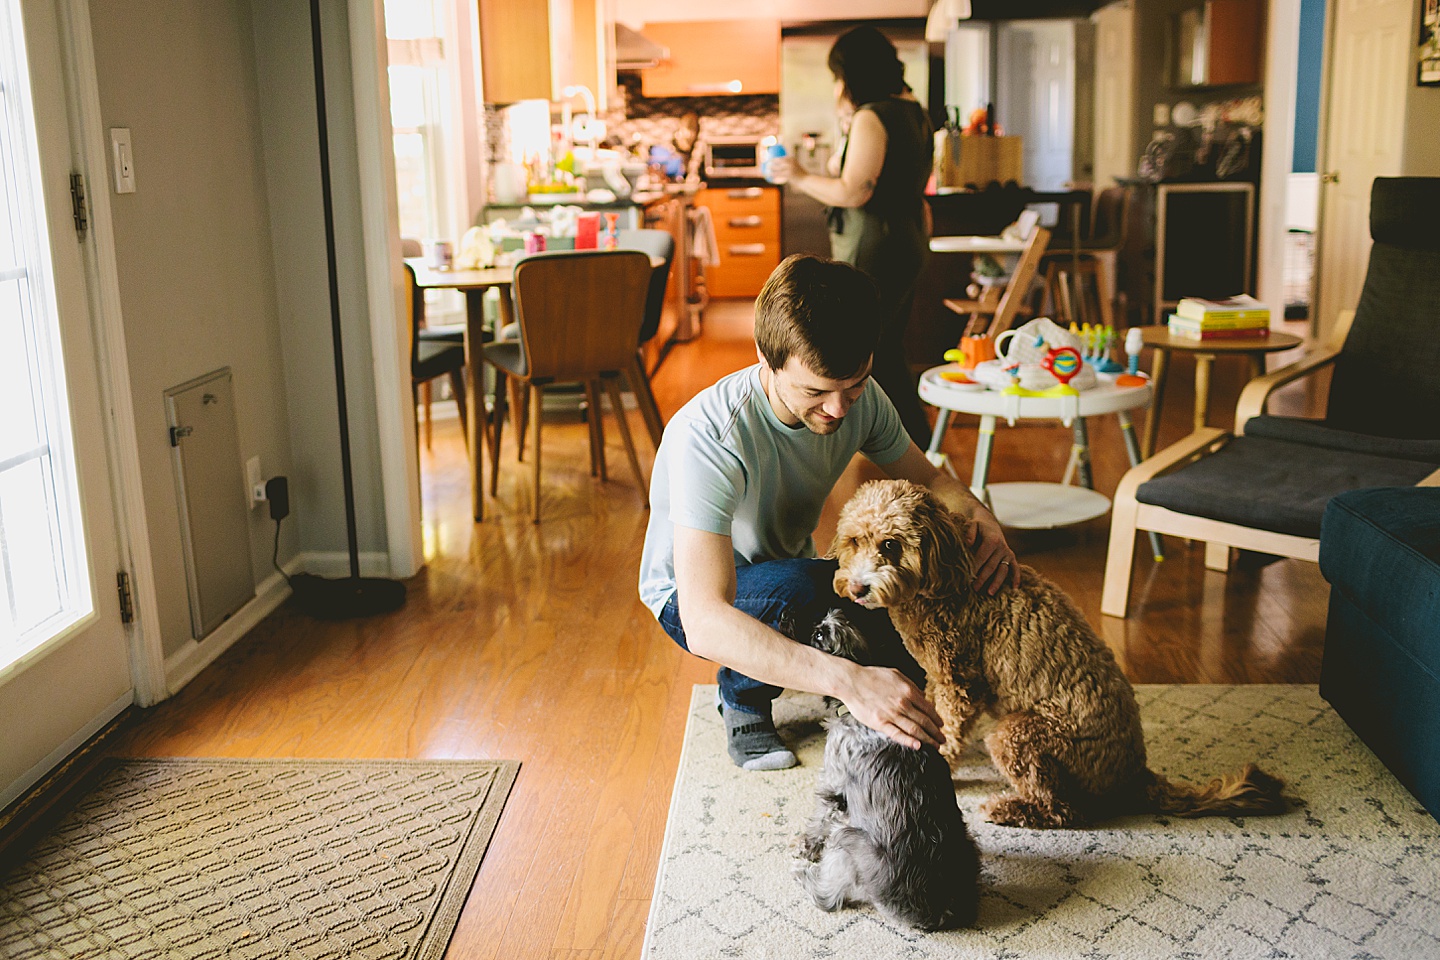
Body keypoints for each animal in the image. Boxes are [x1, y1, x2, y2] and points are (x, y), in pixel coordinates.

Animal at [794, 607, 984, 932]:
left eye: (821, 635)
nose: (790, 618)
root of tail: (936, 911)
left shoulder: (834, 785)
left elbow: (820, 819)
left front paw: (807, 846)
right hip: (969, 842)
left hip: (846, 840)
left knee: (828, 896)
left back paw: (807, 879)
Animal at [829, 483, 1290, 829]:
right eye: (855, 541)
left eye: (891, 544)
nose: (857, 588)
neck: (944, 572)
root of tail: (1135, 776)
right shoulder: (940, 678)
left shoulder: (959, 680)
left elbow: (949, 729)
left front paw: (938, 761)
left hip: (1017, 735)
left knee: (1064, 811)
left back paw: (1009, 809)